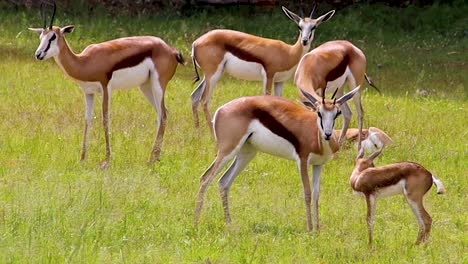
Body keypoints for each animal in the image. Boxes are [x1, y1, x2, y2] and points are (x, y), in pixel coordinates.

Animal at [27, 3, 186, 167]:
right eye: (40, 36)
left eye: (53, 36)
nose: (38, 54)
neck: (85, 62)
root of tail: (171, 50)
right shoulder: (88, 92)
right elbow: (87, 121)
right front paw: (82, 159)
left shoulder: (105, 88)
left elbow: (105, 119)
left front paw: (107, 160)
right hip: (146, 87)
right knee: (162, 114)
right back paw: (154, 158)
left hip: (158, 85)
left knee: (163, 114)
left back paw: (151, 159)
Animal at [191, 5, 336, 134]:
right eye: (299, 26)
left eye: (314, 26)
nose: (304, 40)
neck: (289, 52)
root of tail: (196, 42)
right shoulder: (269, 76)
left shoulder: (280, 81)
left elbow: (280, 101)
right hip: (213, 75)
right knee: (204, 100)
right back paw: (212, 133)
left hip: (210, 75)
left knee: (194, 96)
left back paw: (198, 132)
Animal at [192, 86, 360, 231]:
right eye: (319, 112)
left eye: (337, 113)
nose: (328, 134)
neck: (315, 136)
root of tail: (221, 110)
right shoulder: (302, 161)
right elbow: (307, 193)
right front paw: (310, 229)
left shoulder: (318, 165)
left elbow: (316, 194)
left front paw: (317, 229)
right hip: (227, 151)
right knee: (205, 177)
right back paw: (196, 222)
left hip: (247, 153)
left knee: (223, 181)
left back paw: (229, 224)